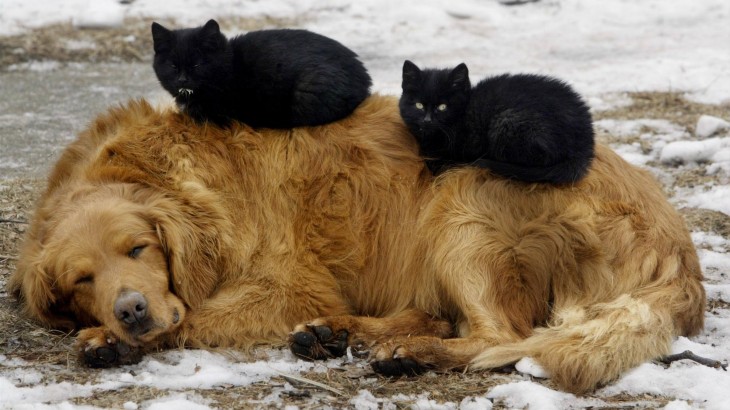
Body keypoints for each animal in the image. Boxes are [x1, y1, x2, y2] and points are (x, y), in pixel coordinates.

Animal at [8, 94, 704, 392]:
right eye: (81, 279)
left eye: (138, 249)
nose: (129, 311)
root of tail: (679, 247)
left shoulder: (289, 284)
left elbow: (198, 314)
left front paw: (107, 339)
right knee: (453, 320)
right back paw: (346, 335)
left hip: (463, 195)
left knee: (500, 335)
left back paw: (405, 352)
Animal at [151, 19, 372, 127]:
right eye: (172, 66)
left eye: (197, 64)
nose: (183, 79)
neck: (230, 67)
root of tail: (364, 77)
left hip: (308, 89)